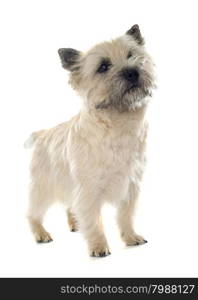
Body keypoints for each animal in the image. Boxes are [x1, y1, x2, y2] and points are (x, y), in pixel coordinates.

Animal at [25, 24, 156, 256]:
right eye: (103, 66)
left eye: (131, 55)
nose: (132, 72)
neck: (118, 123)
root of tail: (42, 133)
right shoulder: (88, 189)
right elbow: (95, 220)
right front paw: (99, 246)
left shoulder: (131, 186)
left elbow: (125, 215)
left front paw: (131, 237)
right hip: (43, 186)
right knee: (33, 212)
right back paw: (41, 233)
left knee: (69, 206)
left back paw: (75, 223)